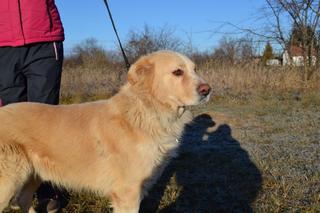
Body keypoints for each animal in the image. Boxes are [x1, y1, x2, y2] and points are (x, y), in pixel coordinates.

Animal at [0, 50, 211, 212]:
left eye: (194, 69)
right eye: (177, 72)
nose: (207, 89)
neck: (145, 111)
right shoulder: (127, 194)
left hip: (32, 175)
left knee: (23, 200)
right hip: (9, 182)